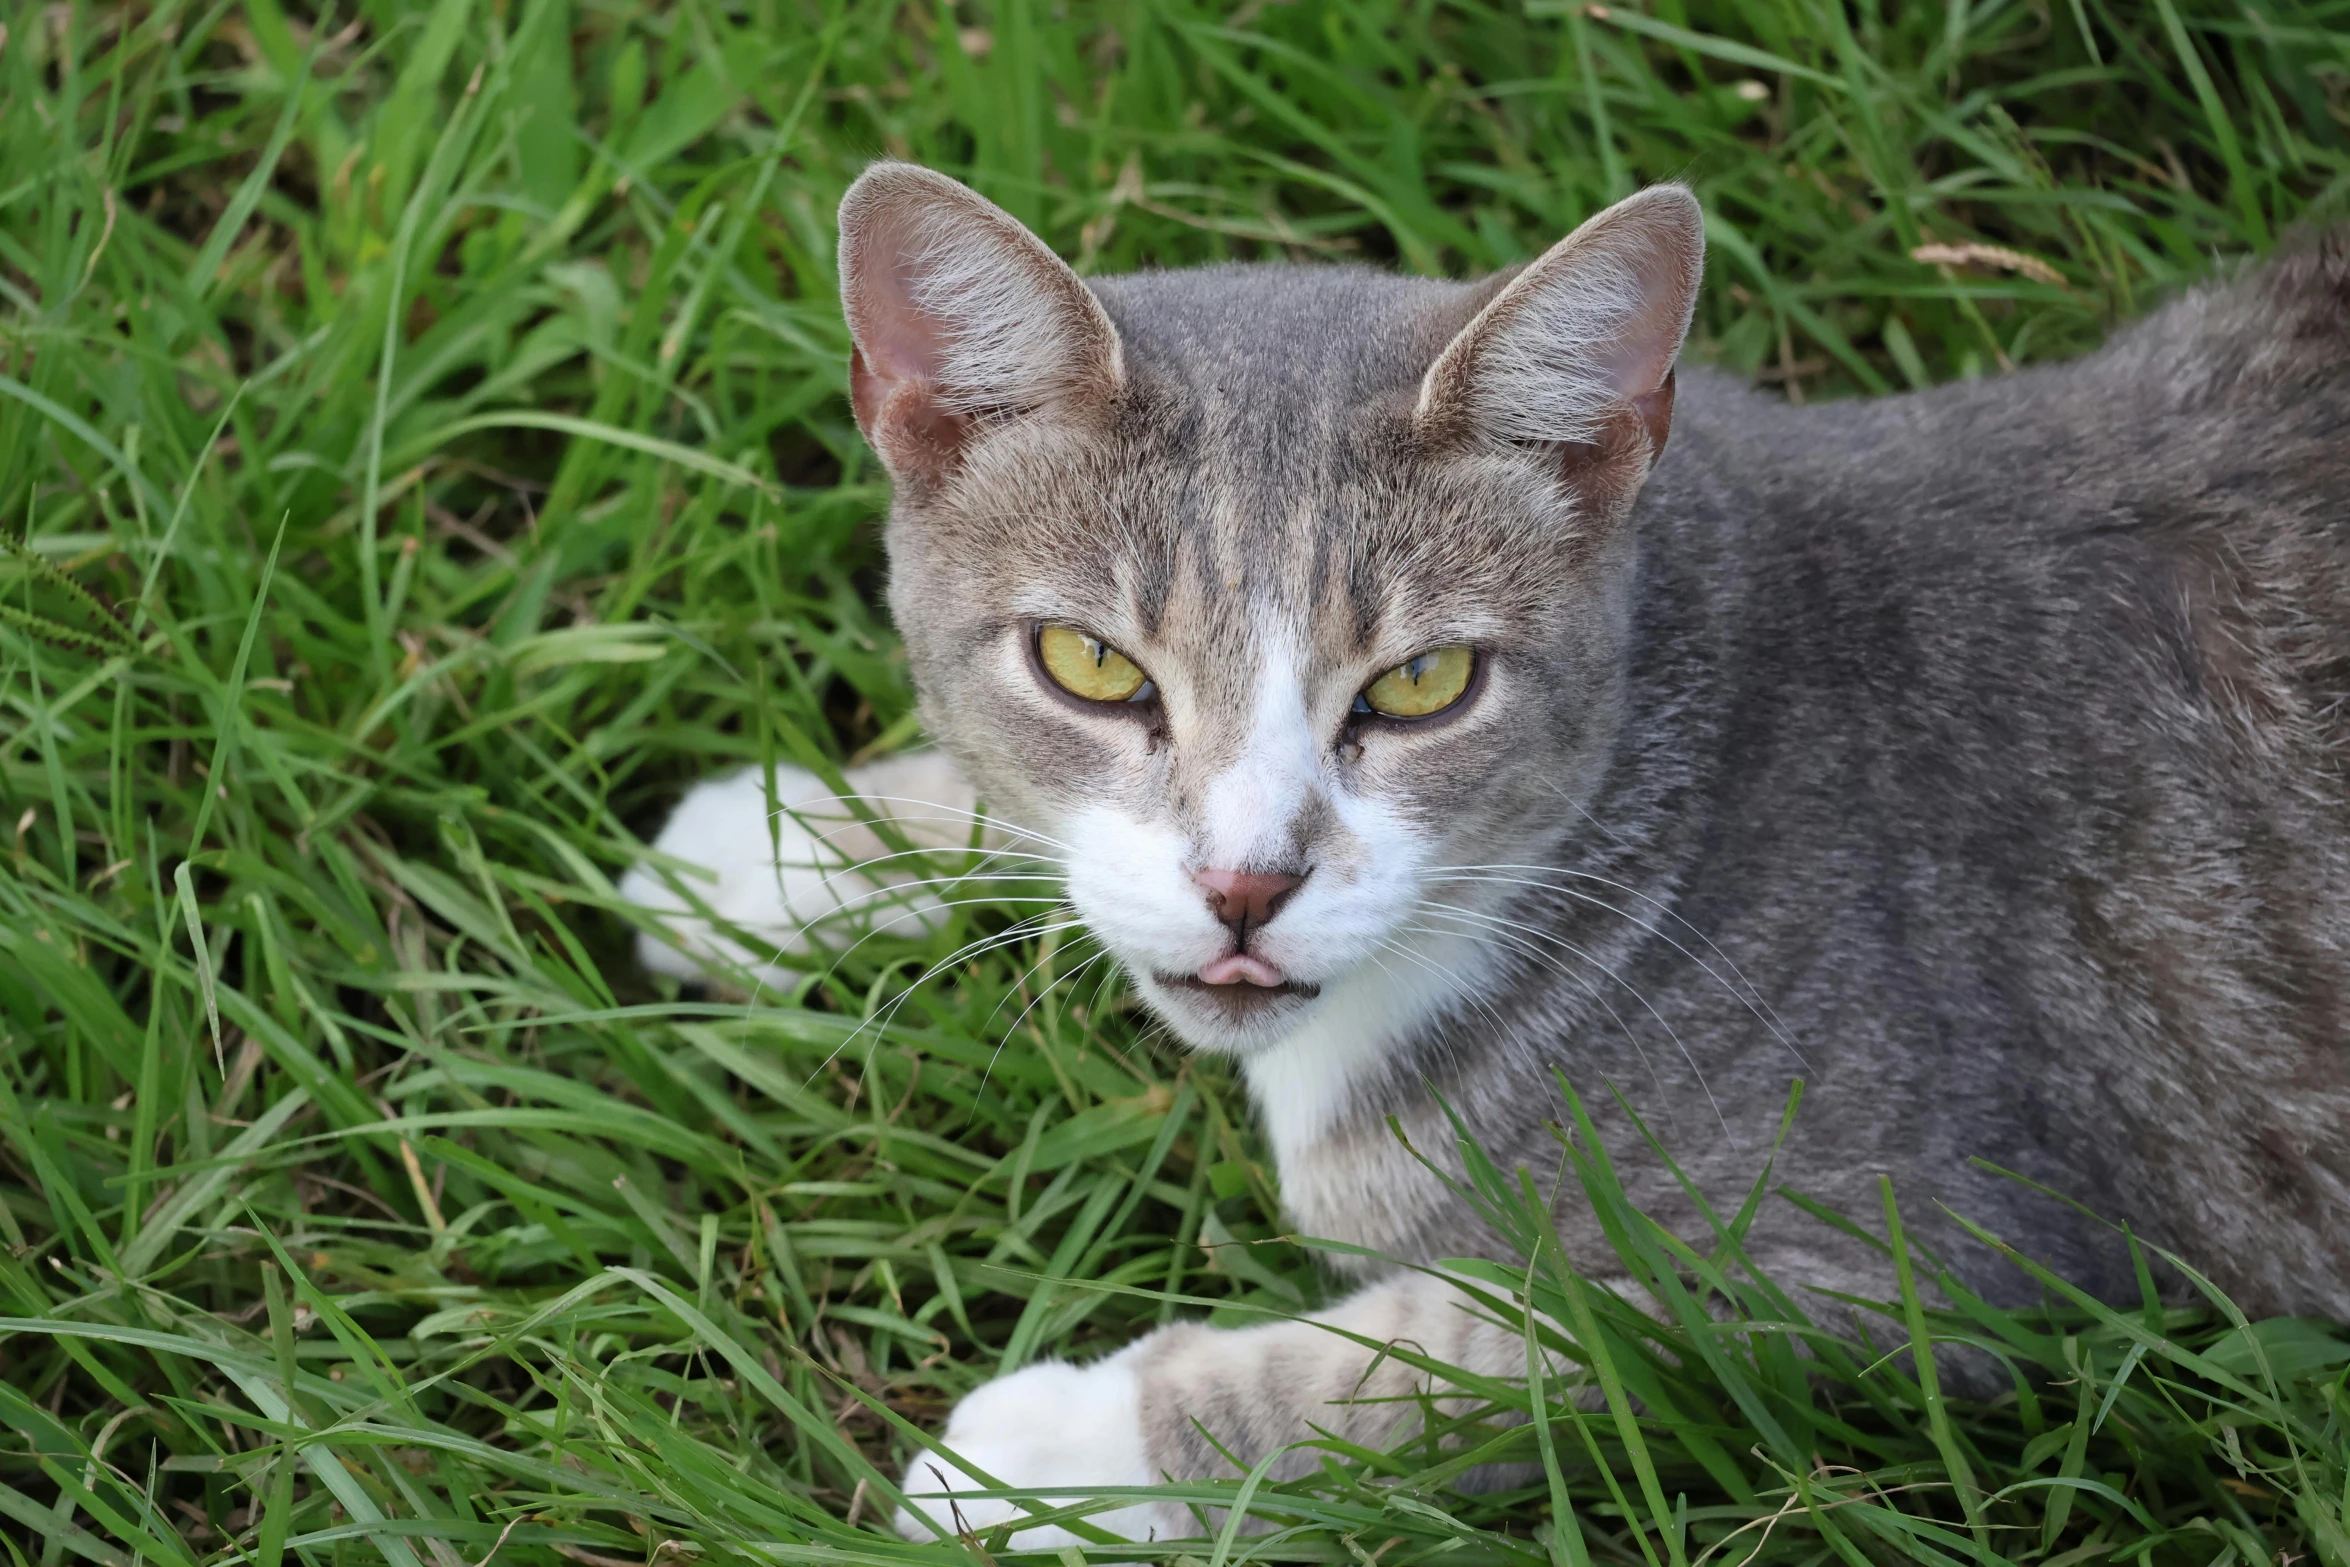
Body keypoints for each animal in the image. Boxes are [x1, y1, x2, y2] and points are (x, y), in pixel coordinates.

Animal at [625, 162, 2350, 1541]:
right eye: (1092, 665)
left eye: (1422, 685)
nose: (1243, 884)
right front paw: (783, 851)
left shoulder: (1947, 1256)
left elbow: (1493, 1354)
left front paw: (1068, 1451)